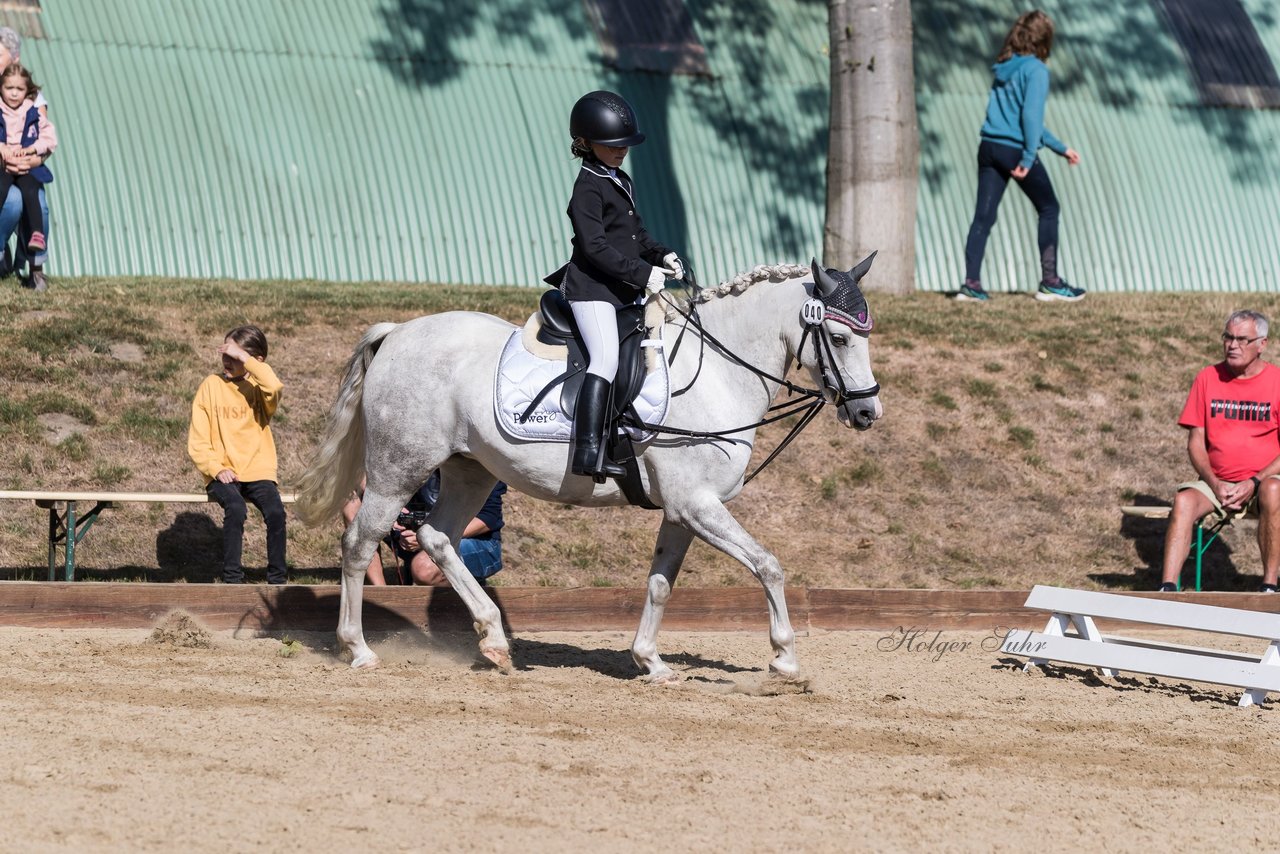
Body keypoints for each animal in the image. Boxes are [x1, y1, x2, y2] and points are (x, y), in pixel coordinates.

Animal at [294, 257, 885, 686]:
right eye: (838, 338)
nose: (867, 413)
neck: (717, 372)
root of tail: (397, 332)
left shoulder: (683, 510)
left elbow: (660, 584)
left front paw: (651, 662)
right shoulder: (697, 504)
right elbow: (768, 565)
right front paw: (784, 661)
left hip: (470, 470)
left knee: (437, 537)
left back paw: (494, 641)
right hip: (399, 467)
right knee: (359, 542)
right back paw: (359, 649)